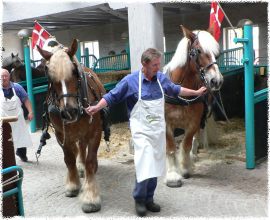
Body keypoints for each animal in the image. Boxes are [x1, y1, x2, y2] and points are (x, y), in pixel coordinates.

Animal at [37, 39, 106, 213]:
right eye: (49, 75)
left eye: (74, 72)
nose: (69, 111)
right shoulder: (61, 134)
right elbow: (68, 159)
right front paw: (73, 184)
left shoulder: (95, 131)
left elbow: (90, 161)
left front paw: (90, 197)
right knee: (78, 149)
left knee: (83, 150)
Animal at [163, 25, 223, 187]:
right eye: (198, 51)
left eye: (217, 53)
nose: (217, 81)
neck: (180, 91)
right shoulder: (166, 124)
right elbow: (171, 147)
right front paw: (172, 175)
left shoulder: (193, 122)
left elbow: (186, 144)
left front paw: (184, 168)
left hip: (201, 119)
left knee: (195, 138)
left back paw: (192, 157)